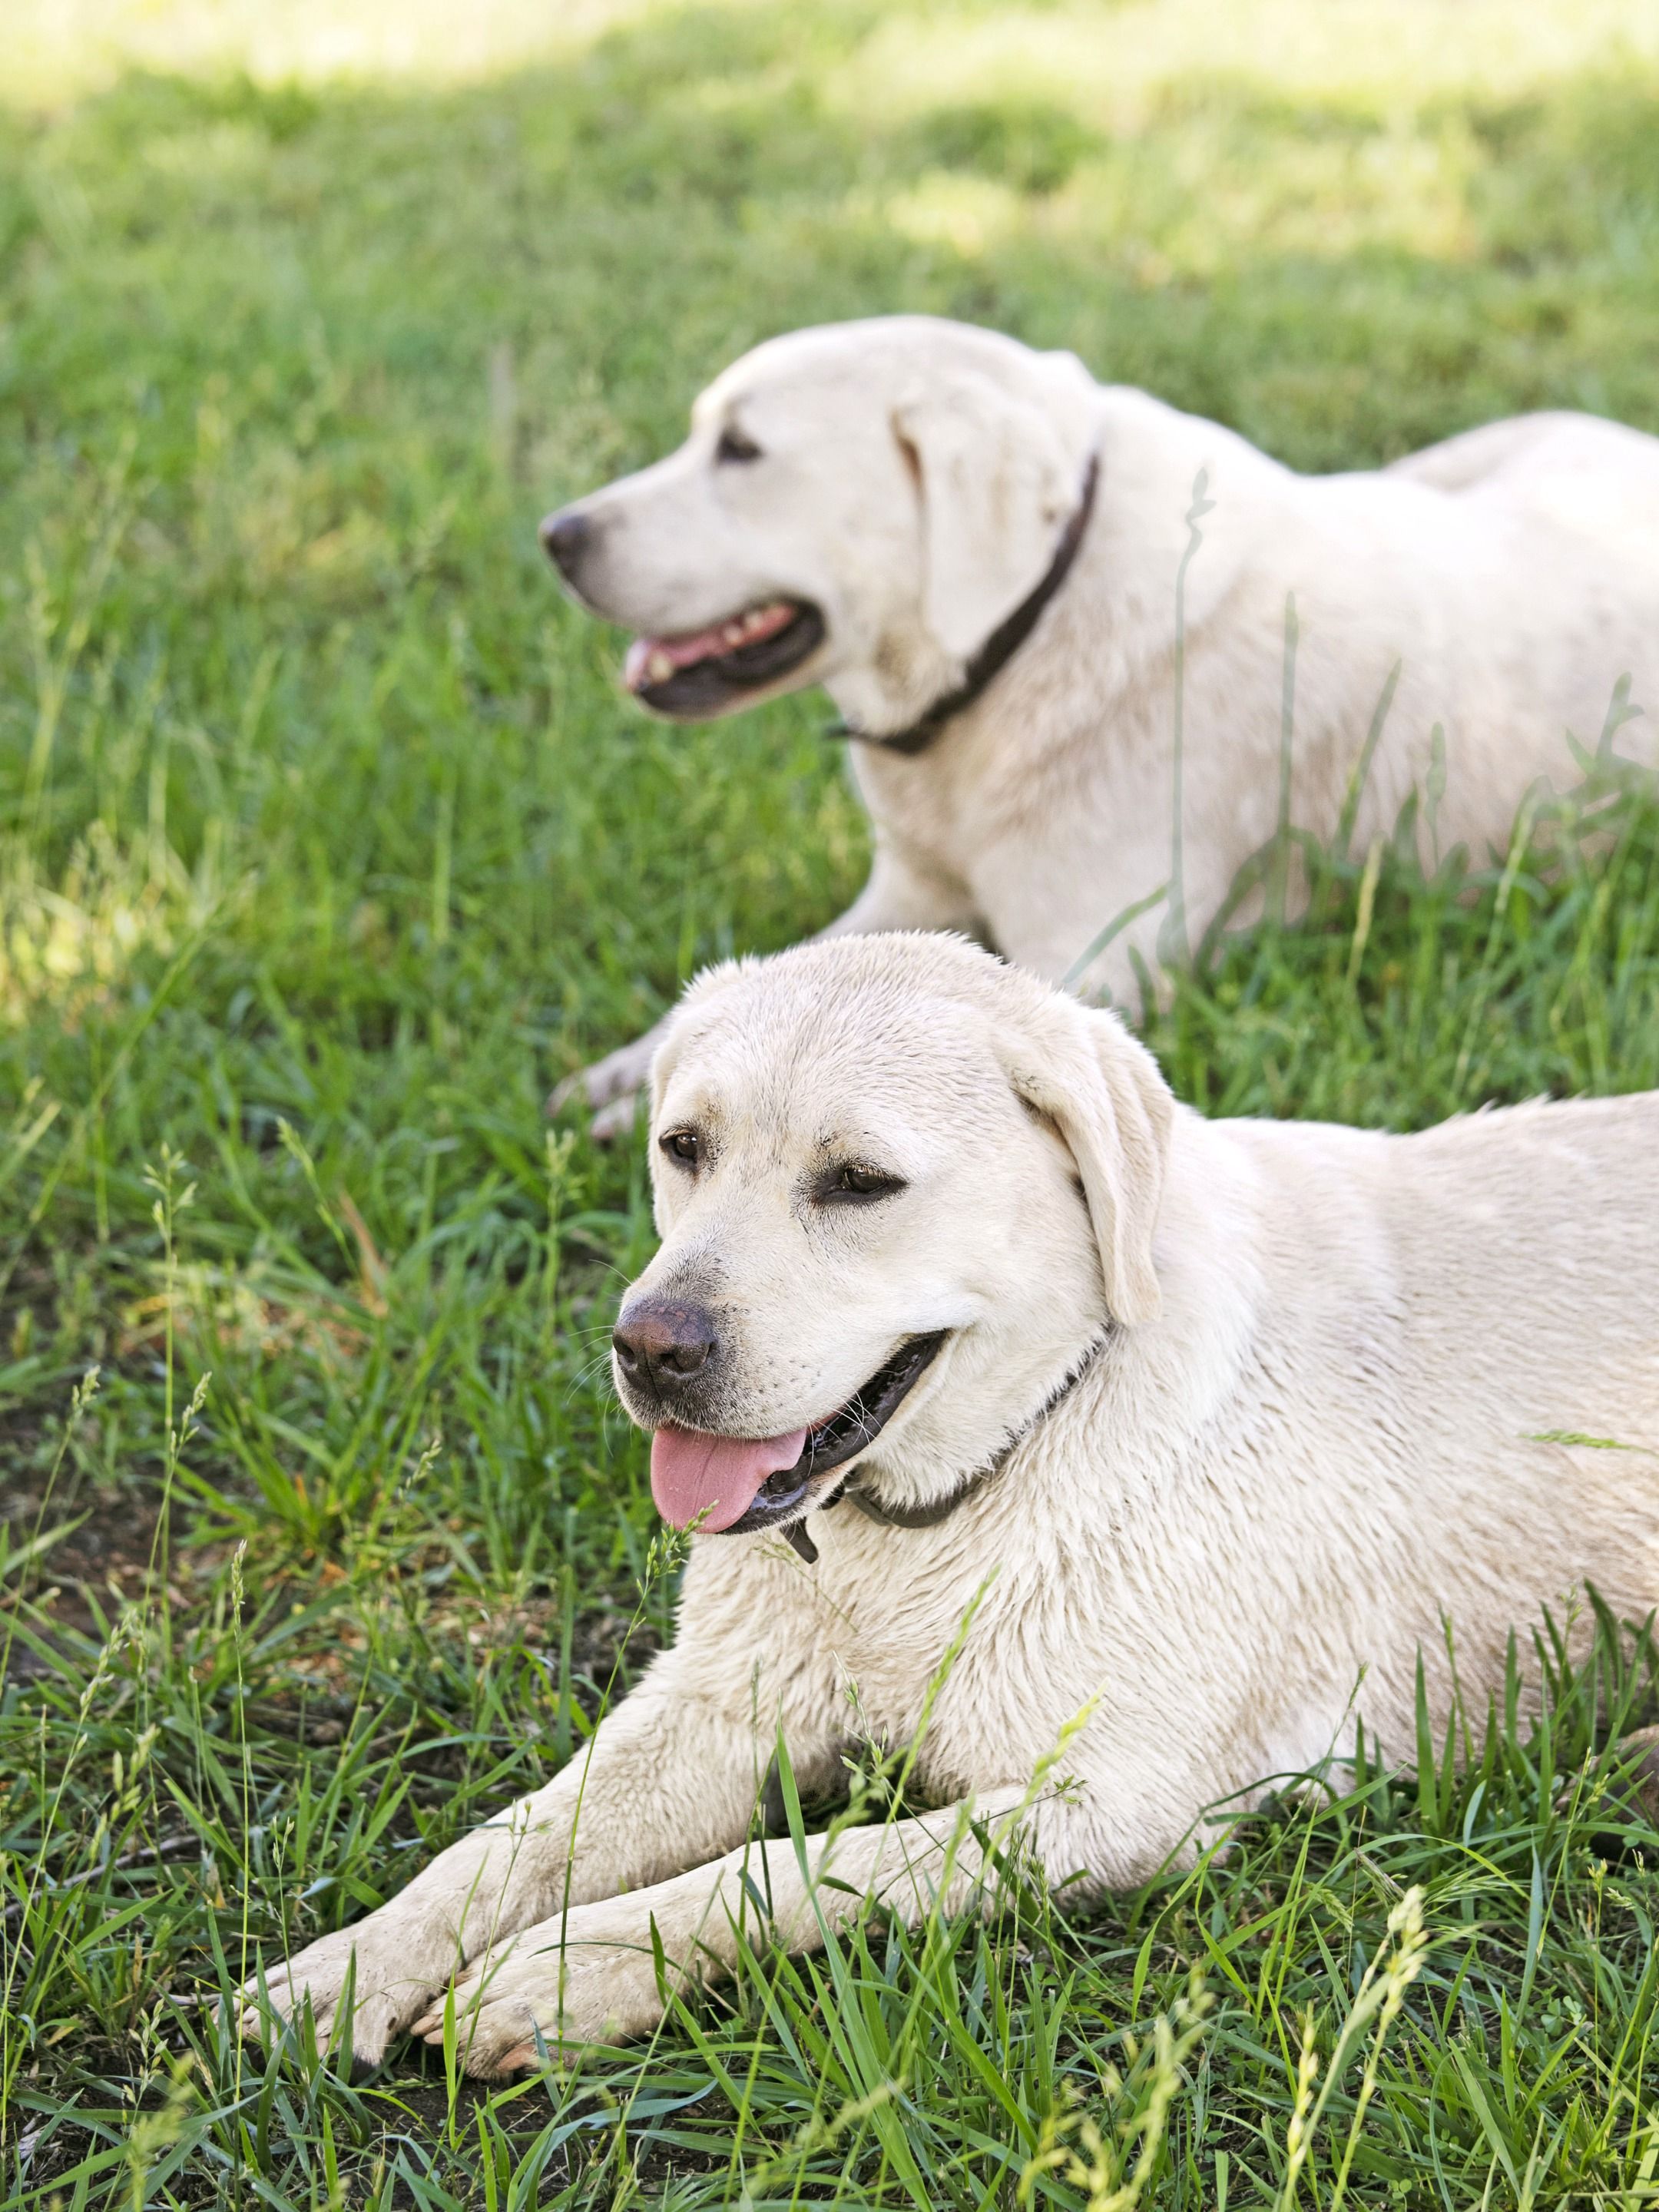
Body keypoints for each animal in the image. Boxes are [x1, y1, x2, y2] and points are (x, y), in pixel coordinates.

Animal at [243, 924, 1659, 2061]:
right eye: (682, 1148)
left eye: (860, 1183)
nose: (650, 1349)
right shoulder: (714, 1703)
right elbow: (511, 1842)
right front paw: (346, 1969)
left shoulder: (1110, 1809)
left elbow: (786, 1867)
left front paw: (563, 1974)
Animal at [541, 316, 1659, 1141]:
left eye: (741, 451)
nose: (558, 535)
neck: (1024, 632)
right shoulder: (908, 891)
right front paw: (632, 1071)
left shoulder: (1093, 955)